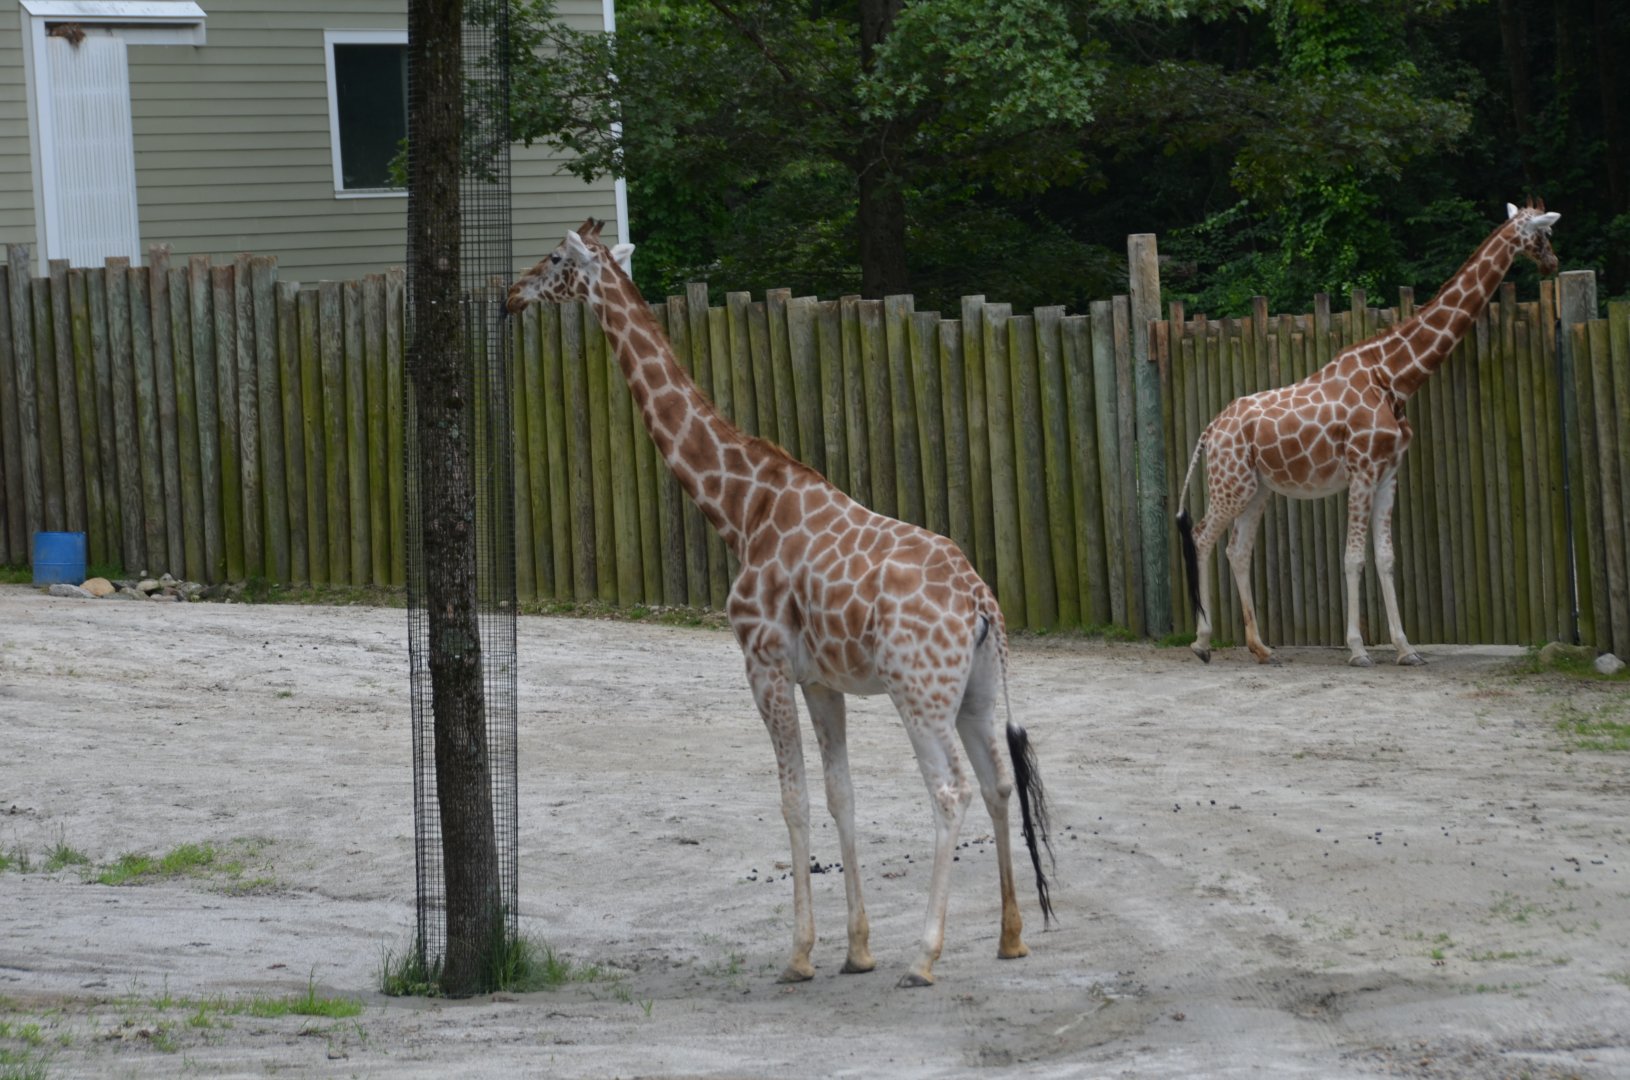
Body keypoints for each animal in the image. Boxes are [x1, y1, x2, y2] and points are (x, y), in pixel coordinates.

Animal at [506, 220, 1054, 988]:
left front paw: (800, 955)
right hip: (974, 692)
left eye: (556, 259)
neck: (740, 508)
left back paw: (925, 955)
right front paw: (856, 949)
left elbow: (792, 800)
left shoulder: (762, 663)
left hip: (919, 695)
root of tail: (981, 603)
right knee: (1000, 783)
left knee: (950, 793)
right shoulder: (822, 681)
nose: (510, 294)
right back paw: (1010, 936)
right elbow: (839, 795)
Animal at [1176, 200, 1560, 668]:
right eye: (1543, 233)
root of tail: (1210, 430)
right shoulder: (1361, 470)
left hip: (1257, 488)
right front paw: (1358, 648)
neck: (1393, 376)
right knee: (1201, 536)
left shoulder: (1389, 473)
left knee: (1237, 549)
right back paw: (1202, 642)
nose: (1552, 263)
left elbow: (1387, 558)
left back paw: (1260, 647)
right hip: (1230, 484)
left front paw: (1406, 648)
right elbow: (1353, 557)